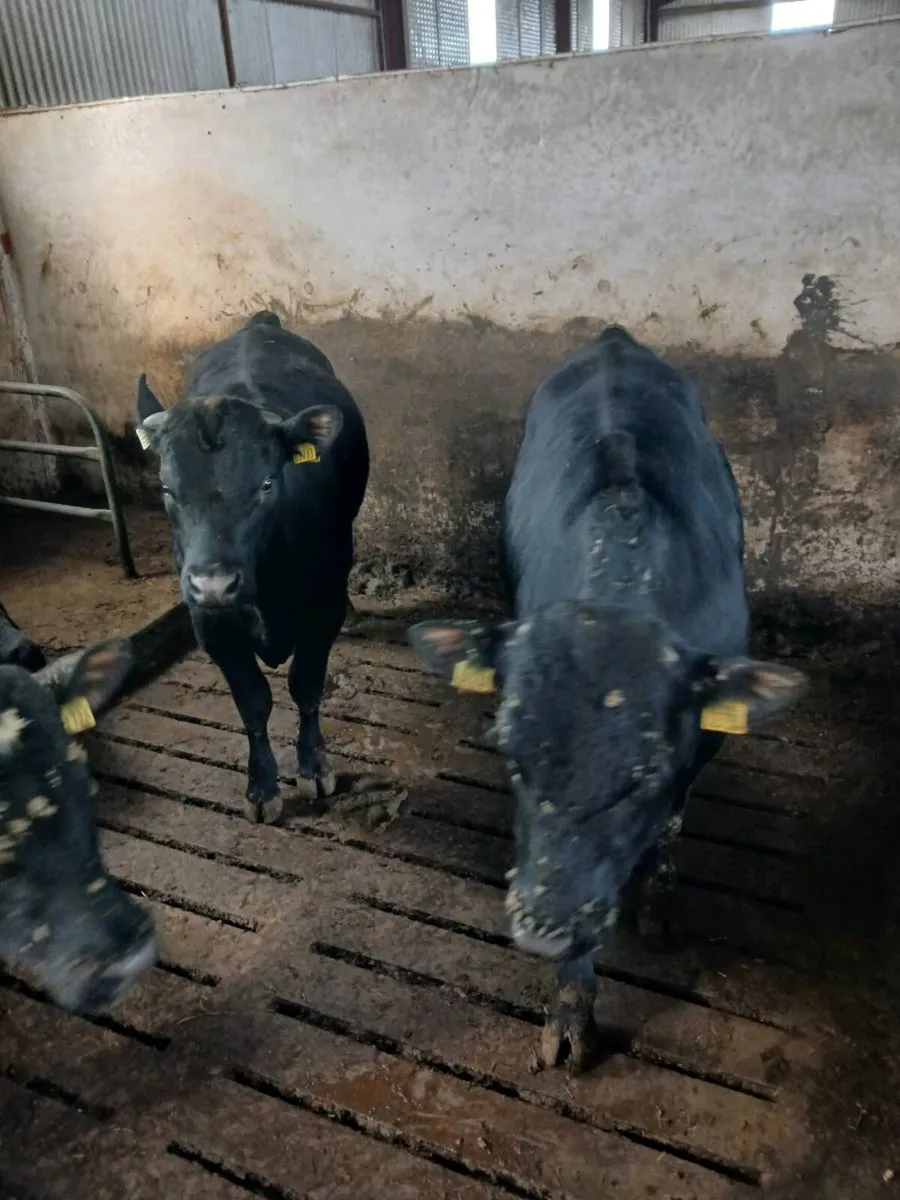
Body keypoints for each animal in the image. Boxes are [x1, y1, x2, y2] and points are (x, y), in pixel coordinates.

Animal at [135, 311, 370, 824]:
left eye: (266, 483)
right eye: (166, 488)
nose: (214, 584)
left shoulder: (321, 612)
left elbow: (306, 686)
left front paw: (314, 767)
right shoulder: (211, 624)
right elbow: (253, 704)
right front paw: (261, 787)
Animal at [408, 326, 808, 1072]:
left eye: (644, 773)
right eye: (511, 755)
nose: (541, 925)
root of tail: (613, 340)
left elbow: (668, 824)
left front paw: (656, 902)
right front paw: (570, 1010)